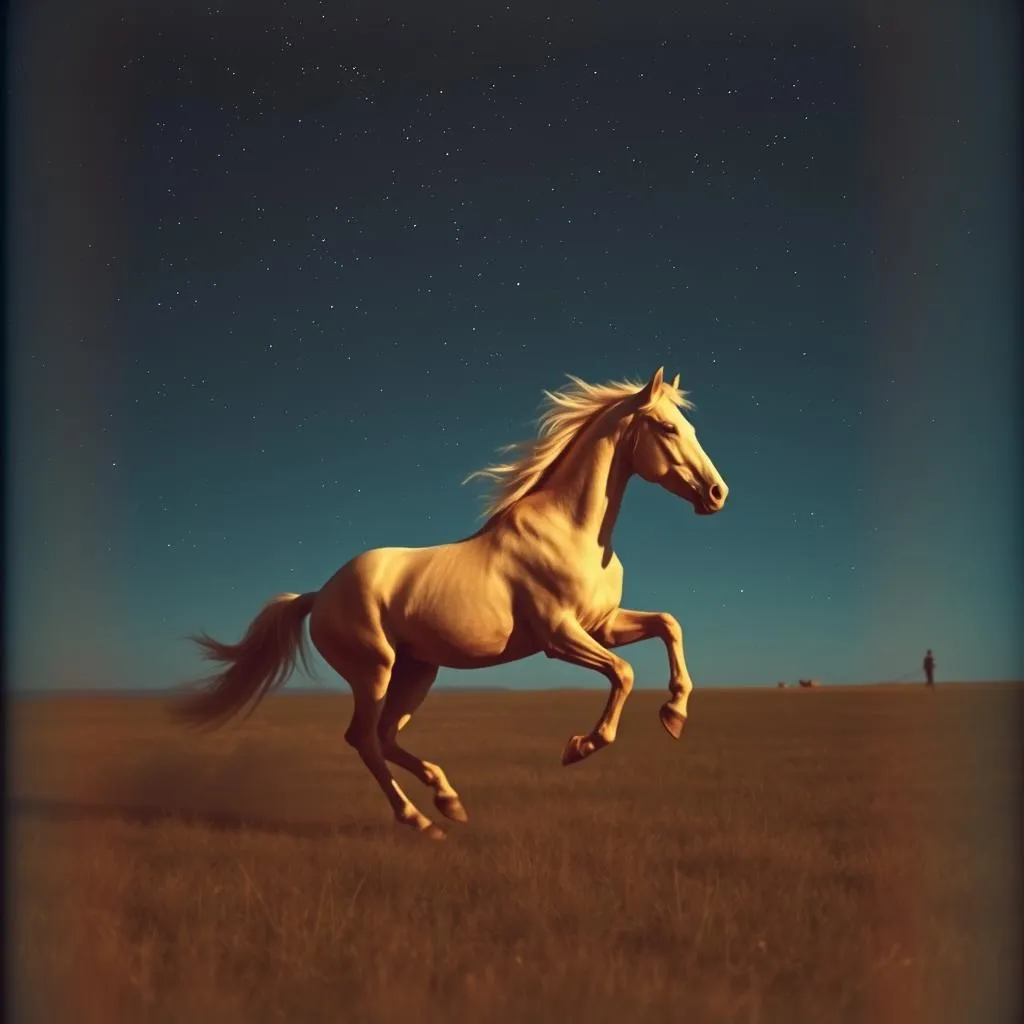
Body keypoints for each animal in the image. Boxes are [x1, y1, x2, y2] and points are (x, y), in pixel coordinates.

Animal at [176, 367, 729, 839]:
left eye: (689, 425)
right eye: (666, 427)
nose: (717, 493)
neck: (572, 531)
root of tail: (319, 595)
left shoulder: (603, 624)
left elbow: (668, 625)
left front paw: (675, 714)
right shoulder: (560, 636)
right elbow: (624, 673)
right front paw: (581, 747)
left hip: (417, 671)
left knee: (386, 736)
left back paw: (449, 801)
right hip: (374, 671)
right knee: (364, 738)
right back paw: (420, 820)